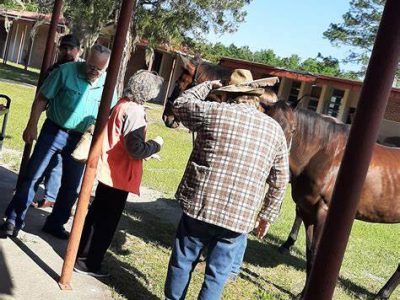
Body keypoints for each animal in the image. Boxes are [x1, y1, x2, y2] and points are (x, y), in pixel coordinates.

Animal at [266, 101, 400, 300]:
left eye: (292, 129)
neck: (323, 154)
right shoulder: (308, 212)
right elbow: (310, 253)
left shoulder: (323, 213)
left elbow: (315, 254)